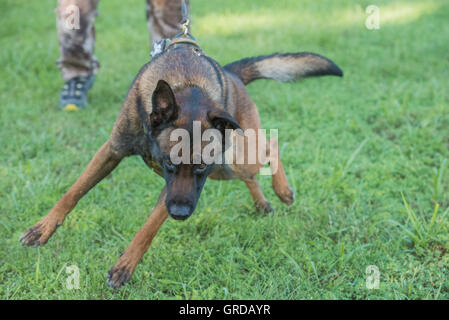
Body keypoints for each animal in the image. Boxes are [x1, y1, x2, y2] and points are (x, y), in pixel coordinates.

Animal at [20, 17, 344, 288]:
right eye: (168, 163)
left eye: (199, 167)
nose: (179, 214)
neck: (187, 87)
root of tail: (233, 74)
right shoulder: (113, 151)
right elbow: (74, 191)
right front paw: (43, 228)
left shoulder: (178, 189)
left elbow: (148, 228)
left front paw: (125, 266)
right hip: (225, 168)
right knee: (252, 172)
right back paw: (263, 203)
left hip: (235, 158)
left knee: (269, 147)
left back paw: (283, 191)